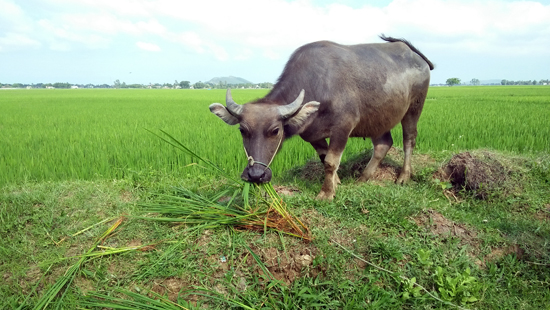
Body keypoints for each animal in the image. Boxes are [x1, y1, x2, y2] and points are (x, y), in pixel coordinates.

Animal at [211, 35, 436, 200]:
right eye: (243, 130)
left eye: (275, 130)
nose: (256, 175)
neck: (318, 86)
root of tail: (415, 55)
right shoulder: (313, 135)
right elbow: (323, 157)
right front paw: (336, 183)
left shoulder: (344, 127)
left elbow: (330, 161)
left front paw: (326, 193)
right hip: (378, 119)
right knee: (383, 144)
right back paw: (363, 178)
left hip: (414, 108)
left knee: (409, 139)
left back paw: (403, 177)